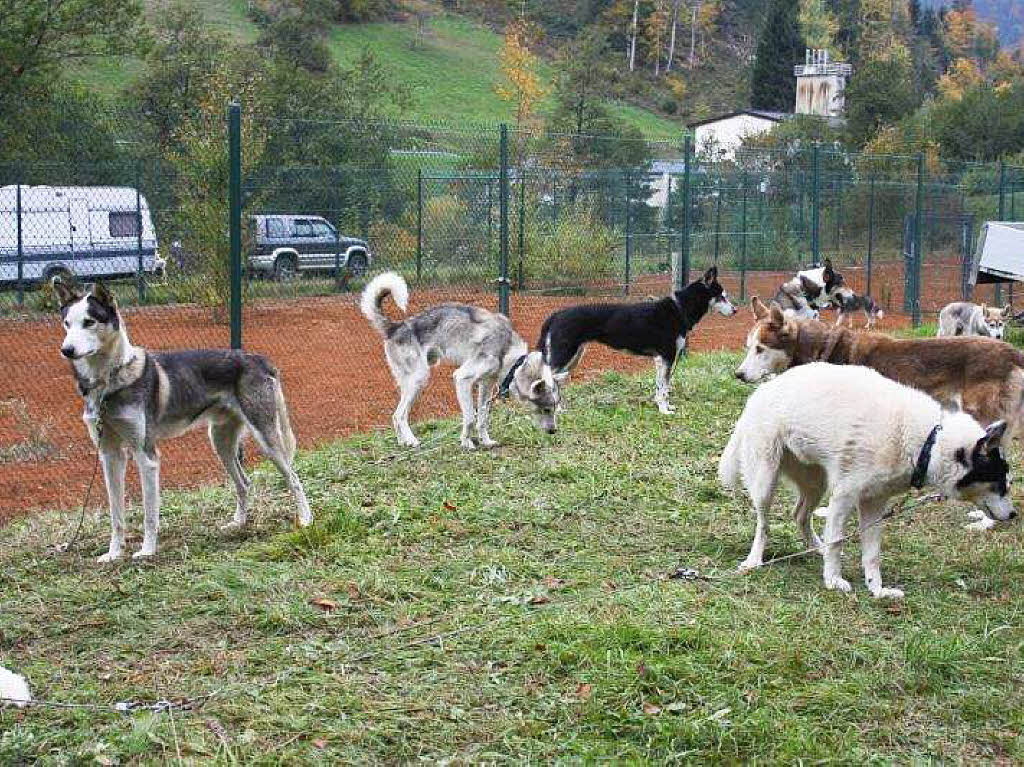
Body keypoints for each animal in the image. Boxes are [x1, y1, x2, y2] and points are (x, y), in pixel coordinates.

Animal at [54, 278, 309, 561]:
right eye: (67, 323)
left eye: (89, 321)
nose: (66, 350)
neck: (108, 383)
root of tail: (258, 358)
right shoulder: (110, 456)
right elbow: (116, 516)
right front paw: (113, 554)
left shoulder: (146, 456)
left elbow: (150, 514)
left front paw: (147, 551)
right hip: (220, 443)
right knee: (244, 483)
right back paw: (238, 524)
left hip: (267, 440)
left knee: (294, 478)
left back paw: (305, 521)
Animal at [362, 272, 569, 448]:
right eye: (546, 409)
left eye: (555, 407)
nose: (553, 431)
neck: (510, 354)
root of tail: (396, 327)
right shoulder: (462, 379)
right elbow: (470, 418)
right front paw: (466, 443)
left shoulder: (486, 384)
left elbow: (482, 418)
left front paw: (486, 441)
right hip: (419, 380)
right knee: (400, 415)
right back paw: (412, 441)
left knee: (395, 416)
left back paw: (402, 442)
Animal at [536, 268, 737, 415]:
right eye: (722, 296)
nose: (736, 311)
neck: (679, 309)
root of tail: (557, 314)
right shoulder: (667, 357)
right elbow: (664, 388)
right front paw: (664, 411)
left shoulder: (660, 360)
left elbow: (660, 387)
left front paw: (663, 406)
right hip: (564, 355)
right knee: (547, 379)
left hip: (573, 358)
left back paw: (558, 409)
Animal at [720, 364, 1015, 598]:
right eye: (999, 482)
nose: (1013, 515)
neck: (928, 442)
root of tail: (764, 389)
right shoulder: (844, 497)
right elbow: (837, 541)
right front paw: (833, 580)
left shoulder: (874, 503)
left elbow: (872, 554)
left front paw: (877, 590)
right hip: (765, 481)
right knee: (764, 524)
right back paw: (754, 560)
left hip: (815, 483)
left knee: (800, 514)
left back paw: (817, 548)